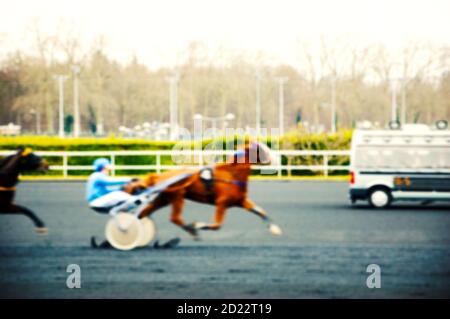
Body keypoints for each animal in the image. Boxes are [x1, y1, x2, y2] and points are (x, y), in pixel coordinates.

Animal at [125, 142, 284, 240]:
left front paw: (275, 229)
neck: (231, 175)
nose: (277, 160)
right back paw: (192, 230)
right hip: (177, 197)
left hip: (164, 198)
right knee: (174, 218)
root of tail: (161, 175)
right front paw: (198, 225)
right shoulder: (222, 203)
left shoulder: (241, 201)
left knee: (144, 213)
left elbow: (261, 211)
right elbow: (216, 225)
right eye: (262, 149)